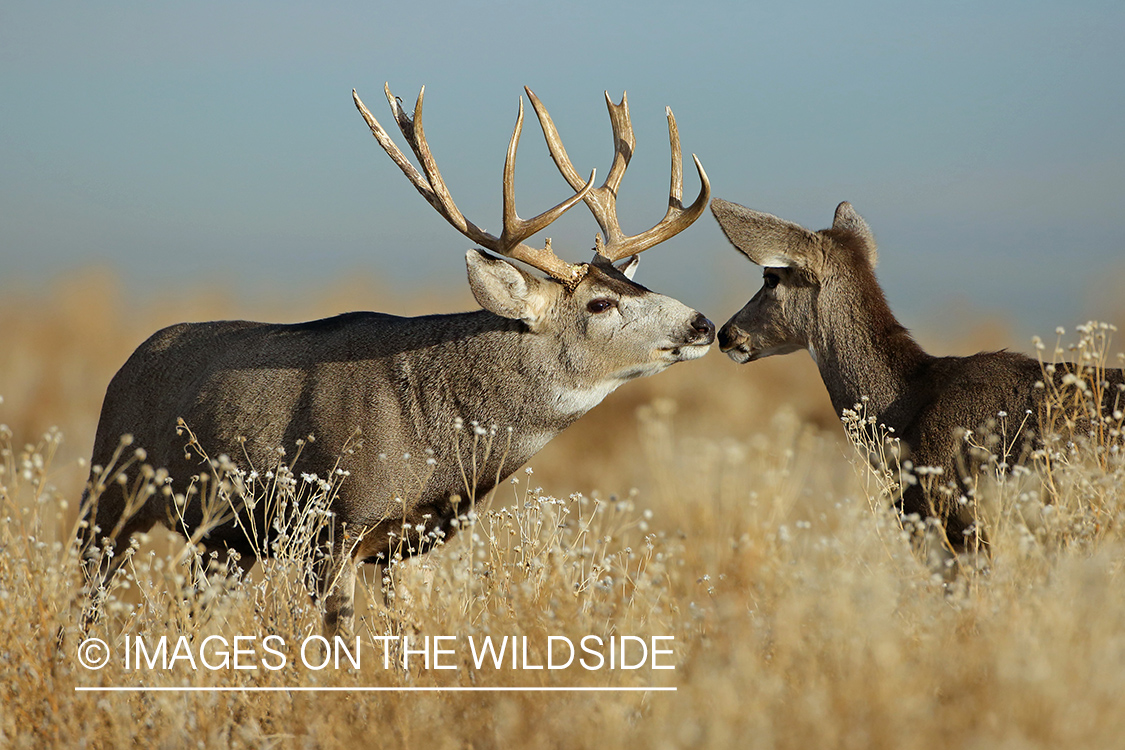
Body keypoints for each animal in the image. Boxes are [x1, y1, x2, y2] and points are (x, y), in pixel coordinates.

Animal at [78, 83, 714, 637]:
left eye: (637, 282)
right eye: (600, 303)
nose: (703, 324)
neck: (434, 438)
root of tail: (128, 362)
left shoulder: (404, 545)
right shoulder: (334, 524)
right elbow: (337, 636)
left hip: (220, 539)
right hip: (108, 489)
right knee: (88, 586)